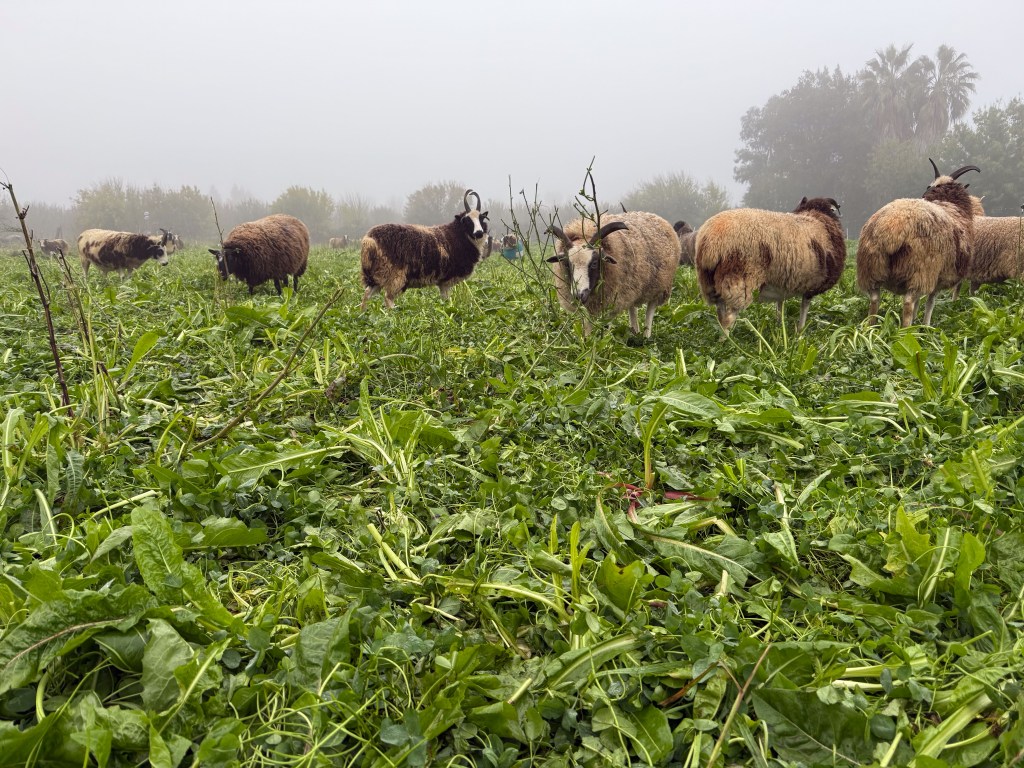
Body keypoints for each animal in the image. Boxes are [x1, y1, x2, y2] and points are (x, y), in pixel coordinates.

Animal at [360, 189, 489, 309]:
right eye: (466, 220)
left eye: (482, 219)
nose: (479, 232)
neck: (457, 235)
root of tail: (369, 239)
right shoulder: (446, 281)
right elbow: (447, 300)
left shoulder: (442, 282)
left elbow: (444, 300)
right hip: (394, 275)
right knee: (388, 299)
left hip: (377, 275)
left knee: (366, 295)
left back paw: (364, 314)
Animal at [546, 210, 679, 339]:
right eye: (567, 264)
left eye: (594, 263)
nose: (579, 295)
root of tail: (654, 215)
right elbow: (587, 324)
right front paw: (587, 342)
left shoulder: (612, 300)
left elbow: (606, 325)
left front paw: (604, 341)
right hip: (632, 287)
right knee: (632, 309)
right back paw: (635, 332)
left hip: (659, 286)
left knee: (650, 311)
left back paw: (646, 337)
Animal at [695, 197, 845, 333]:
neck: (819, 217)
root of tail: (711, 241)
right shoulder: (812, 287)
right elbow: (804, 309)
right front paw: (800, 333)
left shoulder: (784, 282)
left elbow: (780, 305)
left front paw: (779, 327)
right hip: (740, 280)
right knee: (728, 318)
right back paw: (727, 342)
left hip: (709, 282)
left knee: (720, 314)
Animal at [856, 160, 980, 327]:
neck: (948, 203)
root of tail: (893, 226)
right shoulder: (938, 276)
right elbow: (930, 302)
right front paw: (925, 326)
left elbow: (920, 302)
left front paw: (918, 321)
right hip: (920, 270)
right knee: (908, 302)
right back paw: (906, 330)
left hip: (871, 268)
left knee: (875, 299)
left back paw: (872, 327)